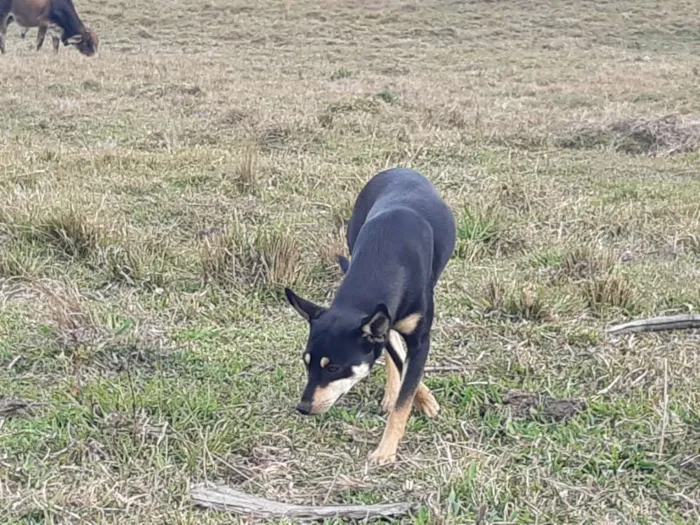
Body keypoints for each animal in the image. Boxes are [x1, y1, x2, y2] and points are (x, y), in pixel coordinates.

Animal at [284, 167, 454, 462]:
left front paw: (385, 451)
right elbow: (402, 366)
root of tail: (399, 169)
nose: (303, 407)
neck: (386, 256)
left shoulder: (419, 338)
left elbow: (404, 398)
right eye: (306, 363)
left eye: (334, 368)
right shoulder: (384, 328)